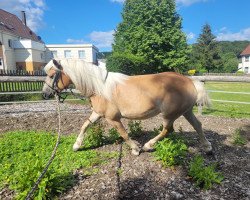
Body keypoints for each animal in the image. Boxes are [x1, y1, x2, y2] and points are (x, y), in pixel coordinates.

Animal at [42, 58, 212, 155]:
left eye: (51, 75)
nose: (44, 94)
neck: (99, 87)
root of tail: (189, 81)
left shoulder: (113, 118)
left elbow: (123, 134)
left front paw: (136, 149)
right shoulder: (98, 113)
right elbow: (85, 125)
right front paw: (77, 145)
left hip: (169, 114)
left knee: (168, 130)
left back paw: (148, 145)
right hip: (186, 111)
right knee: (197, 125)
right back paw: (207, 147)